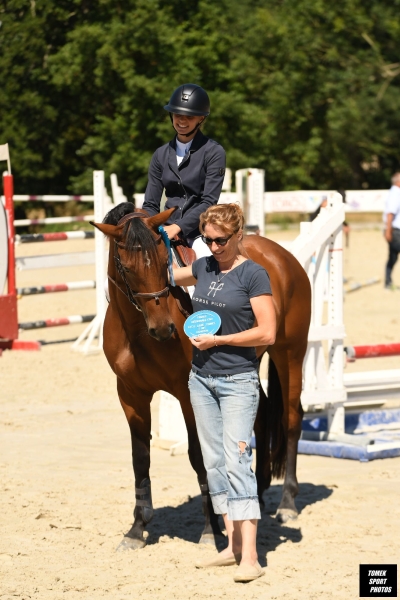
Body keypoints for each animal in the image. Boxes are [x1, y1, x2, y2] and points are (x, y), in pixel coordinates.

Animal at [94, 202, 312, 548]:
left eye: (163, 262)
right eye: (126, 269)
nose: (163, 329)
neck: (139, 332)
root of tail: (280, 254)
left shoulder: (188, 393)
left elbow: (199, 456)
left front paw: (211, 529)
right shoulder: (130, 395)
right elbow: (140, 458)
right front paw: (136, 529)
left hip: (290, 352)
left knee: (291, 418)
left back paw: (287, 502)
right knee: (263, 413)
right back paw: (259, 492)